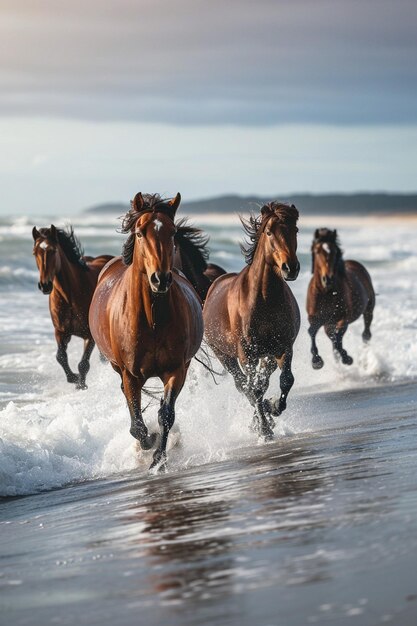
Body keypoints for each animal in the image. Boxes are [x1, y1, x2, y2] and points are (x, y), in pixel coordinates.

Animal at [32, 224, 113, 388]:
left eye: (53, 250)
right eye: (35, 252)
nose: (45, 285)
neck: (69, 297)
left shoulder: (89, 335)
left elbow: (83, 364)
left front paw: (81, 385)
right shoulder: (61, 332)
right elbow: (60, 357)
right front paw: (74, 378)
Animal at [89, 190, 203, 468]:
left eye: (172, 232)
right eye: (140, 233)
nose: (160, 279)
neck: (152, 320)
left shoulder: (176, 369)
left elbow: (166, 414)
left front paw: (158, 459)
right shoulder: (130, 375)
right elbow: (137, 424)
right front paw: (148, 442)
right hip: (117, 367)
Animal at [202, 202, 300, 436]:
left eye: (296, 230)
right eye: (269, 232)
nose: (290, 268)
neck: (265, 298)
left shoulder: (283, 347)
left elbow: (285, 380)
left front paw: (273, 407)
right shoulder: (247, 354)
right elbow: (253, 389)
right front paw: (264, 429)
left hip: (267, 355)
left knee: (261, 382)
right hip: (225, 355)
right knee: (244, 386)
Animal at [304, 228, 376, 366]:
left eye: (334, 251)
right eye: (317, 251)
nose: (328, 279)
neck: (326, 293)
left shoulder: (343, 319)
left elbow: (337, 338)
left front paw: (347, 358)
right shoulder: (316, 319)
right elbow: (312, 332)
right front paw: (316, 361)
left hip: (368, 310)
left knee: (365, 334)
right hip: (328, 324)